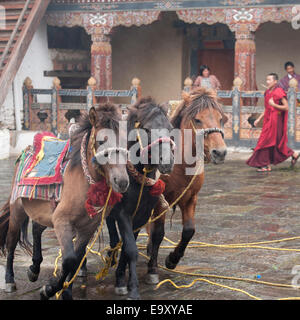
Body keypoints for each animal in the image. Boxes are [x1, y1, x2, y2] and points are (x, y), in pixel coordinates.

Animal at [0, 103, 129, 300]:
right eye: (101, 141)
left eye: (125, 142)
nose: (121, 181)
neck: (84, 180)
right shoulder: (62, 221)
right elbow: (69, 260)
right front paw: (48, 290)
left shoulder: (87, 228)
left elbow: (76, 260)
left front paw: (63, 290)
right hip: (18, 211)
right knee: (11, 241)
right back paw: (9, 280)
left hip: (45, 213)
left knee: (36, 229)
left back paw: (34, 268)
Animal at [146, 87, 227, 282]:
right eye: (197, 119)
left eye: (220, 118)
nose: (220, 152)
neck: (180, 165)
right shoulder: (160, 201)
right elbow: (158, 233)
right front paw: (152, 268)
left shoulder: (191, 198)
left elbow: (189, 231)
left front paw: (172, 259)